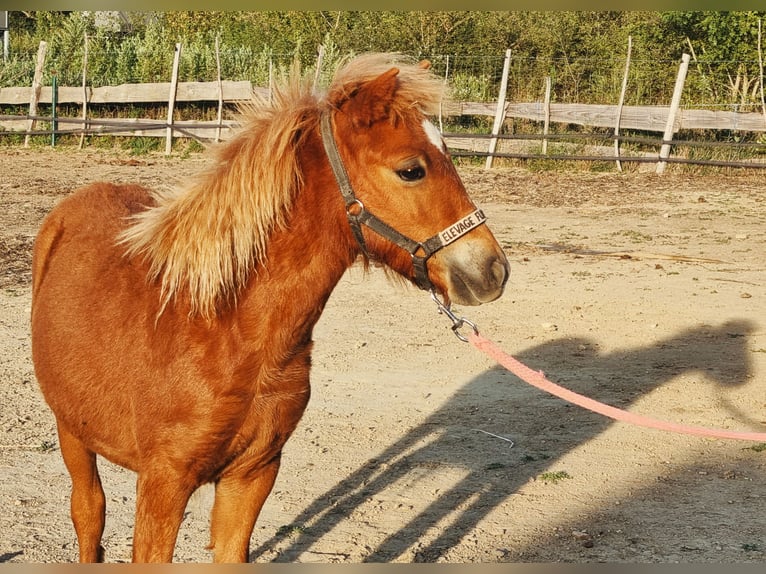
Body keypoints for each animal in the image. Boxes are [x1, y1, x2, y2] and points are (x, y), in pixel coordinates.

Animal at [30, 51, 510, 564]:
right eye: (411, 170)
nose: (492, 270)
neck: (227, 327)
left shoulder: (253, 474)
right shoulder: (163, 482)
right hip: (71, 428)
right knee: (89, 511)